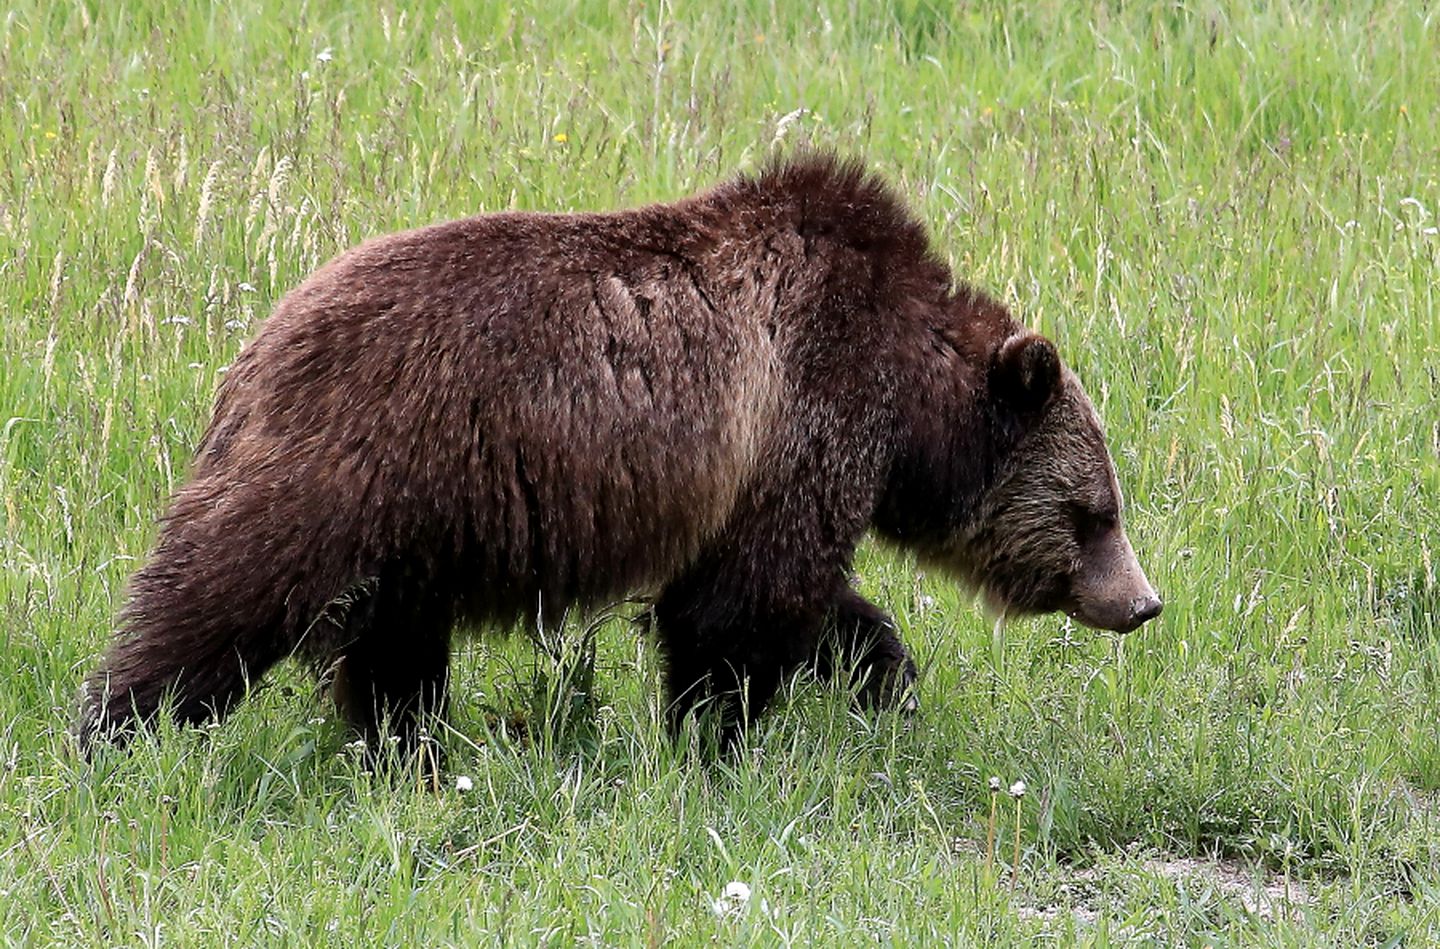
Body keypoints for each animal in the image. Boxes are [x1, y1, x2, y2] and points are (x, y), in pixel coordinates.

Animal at [75, 151, 1157, 754]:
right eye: (1092, 512)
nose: (1142, 602)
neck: (911, 402)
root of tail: (251, 352)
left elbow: (809, 604)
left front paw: (885, 683)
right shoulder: (799, 413)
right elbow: (743, 605)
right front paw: (716, 737)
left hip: (413, 527)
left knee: (393, 651)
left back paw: (406, 751)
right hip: (357, 461)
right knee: (222, 596)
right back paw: (116, 729)